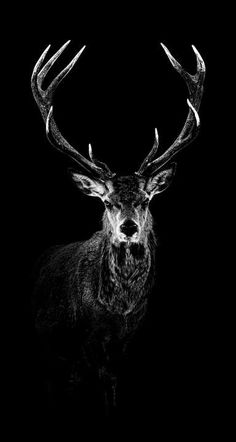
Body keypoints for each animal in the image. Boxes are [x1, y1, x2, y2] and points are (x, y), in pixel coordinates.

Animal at [30, 39, 205, 416]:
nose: (127, 228)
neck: (113, 313)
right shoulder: (75, 348)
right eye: (107, 201)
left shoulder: (122, 349)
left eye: (146, 199)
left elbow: (112, 391)